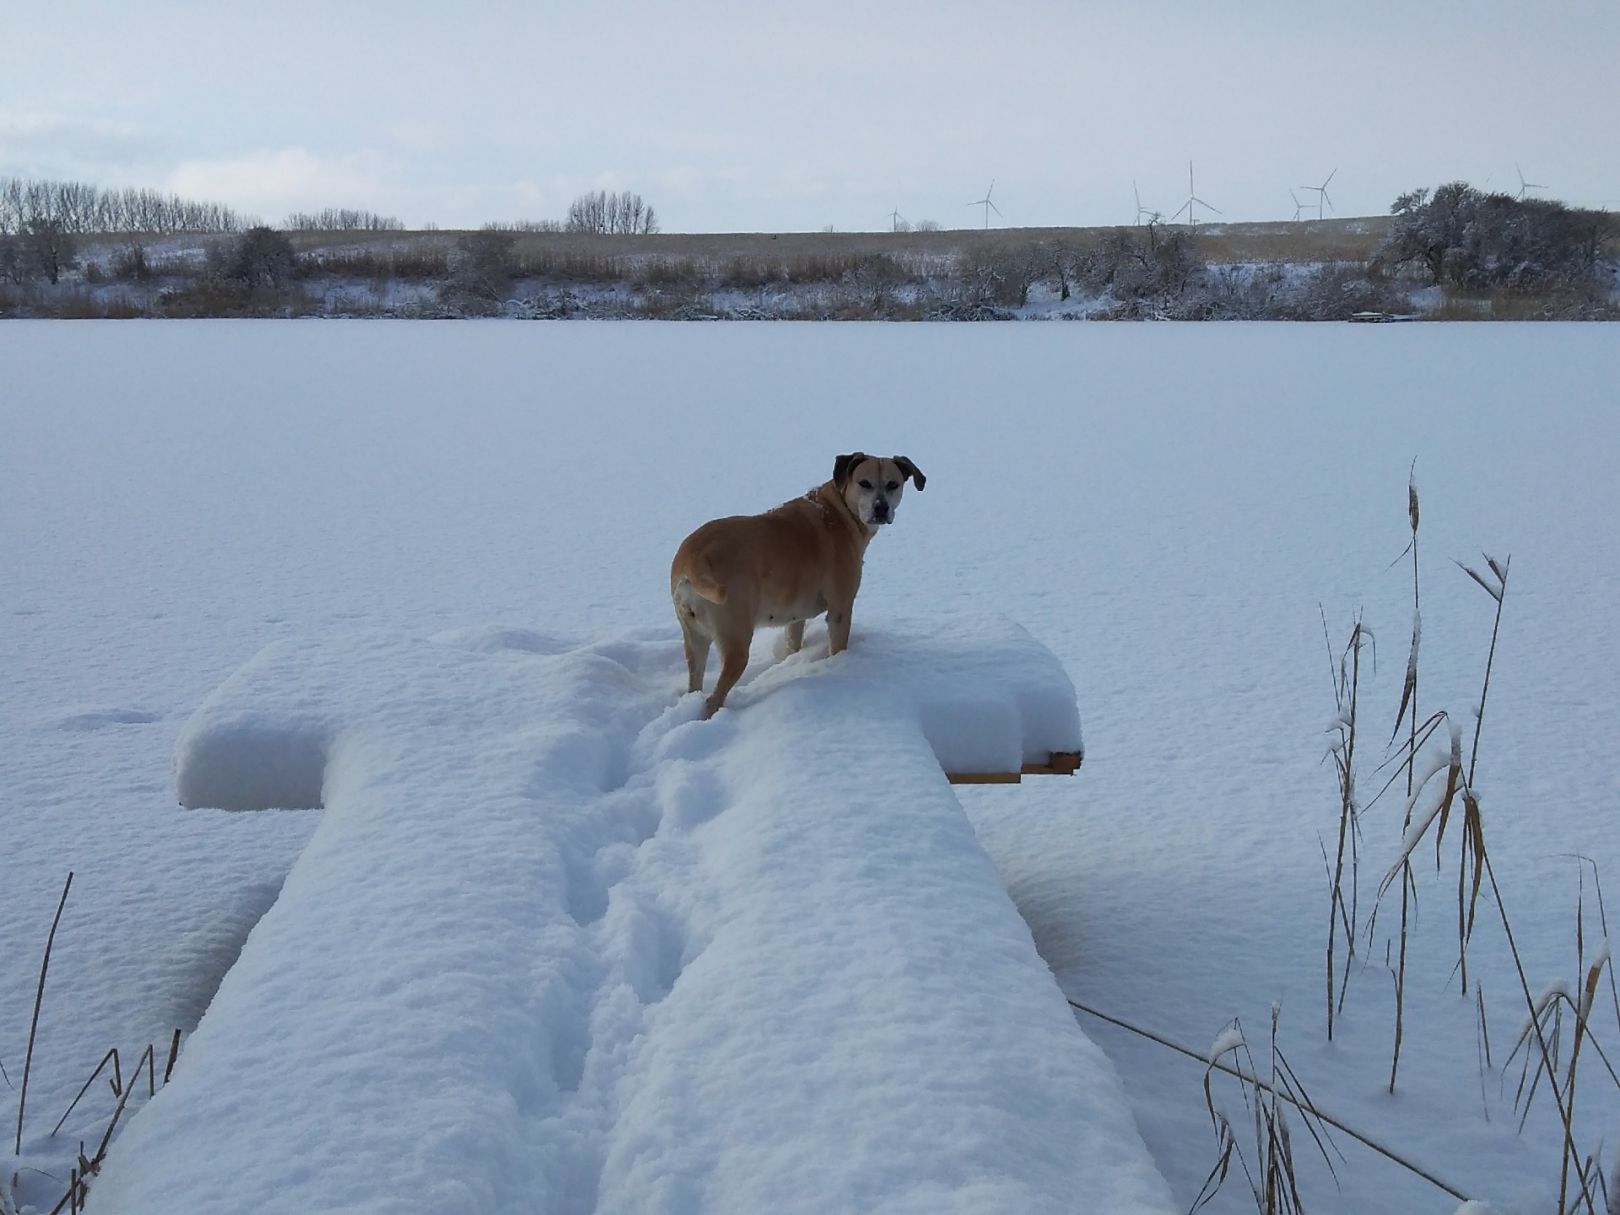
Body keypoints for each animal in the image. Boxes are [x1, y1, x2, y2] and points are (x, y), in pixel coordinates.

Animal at [670, 453, 926, 719]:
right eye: (864, 483)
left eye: (893, 484)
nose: (881, 508)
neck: (839, 511)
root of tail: (694, 558)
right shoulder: (840, 608)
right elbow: (838, 644)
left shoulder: (795, 617)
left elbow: (792, 643)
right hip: (736, 639)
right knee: (715, 696)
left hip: (694, 636)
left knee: (695, 680)